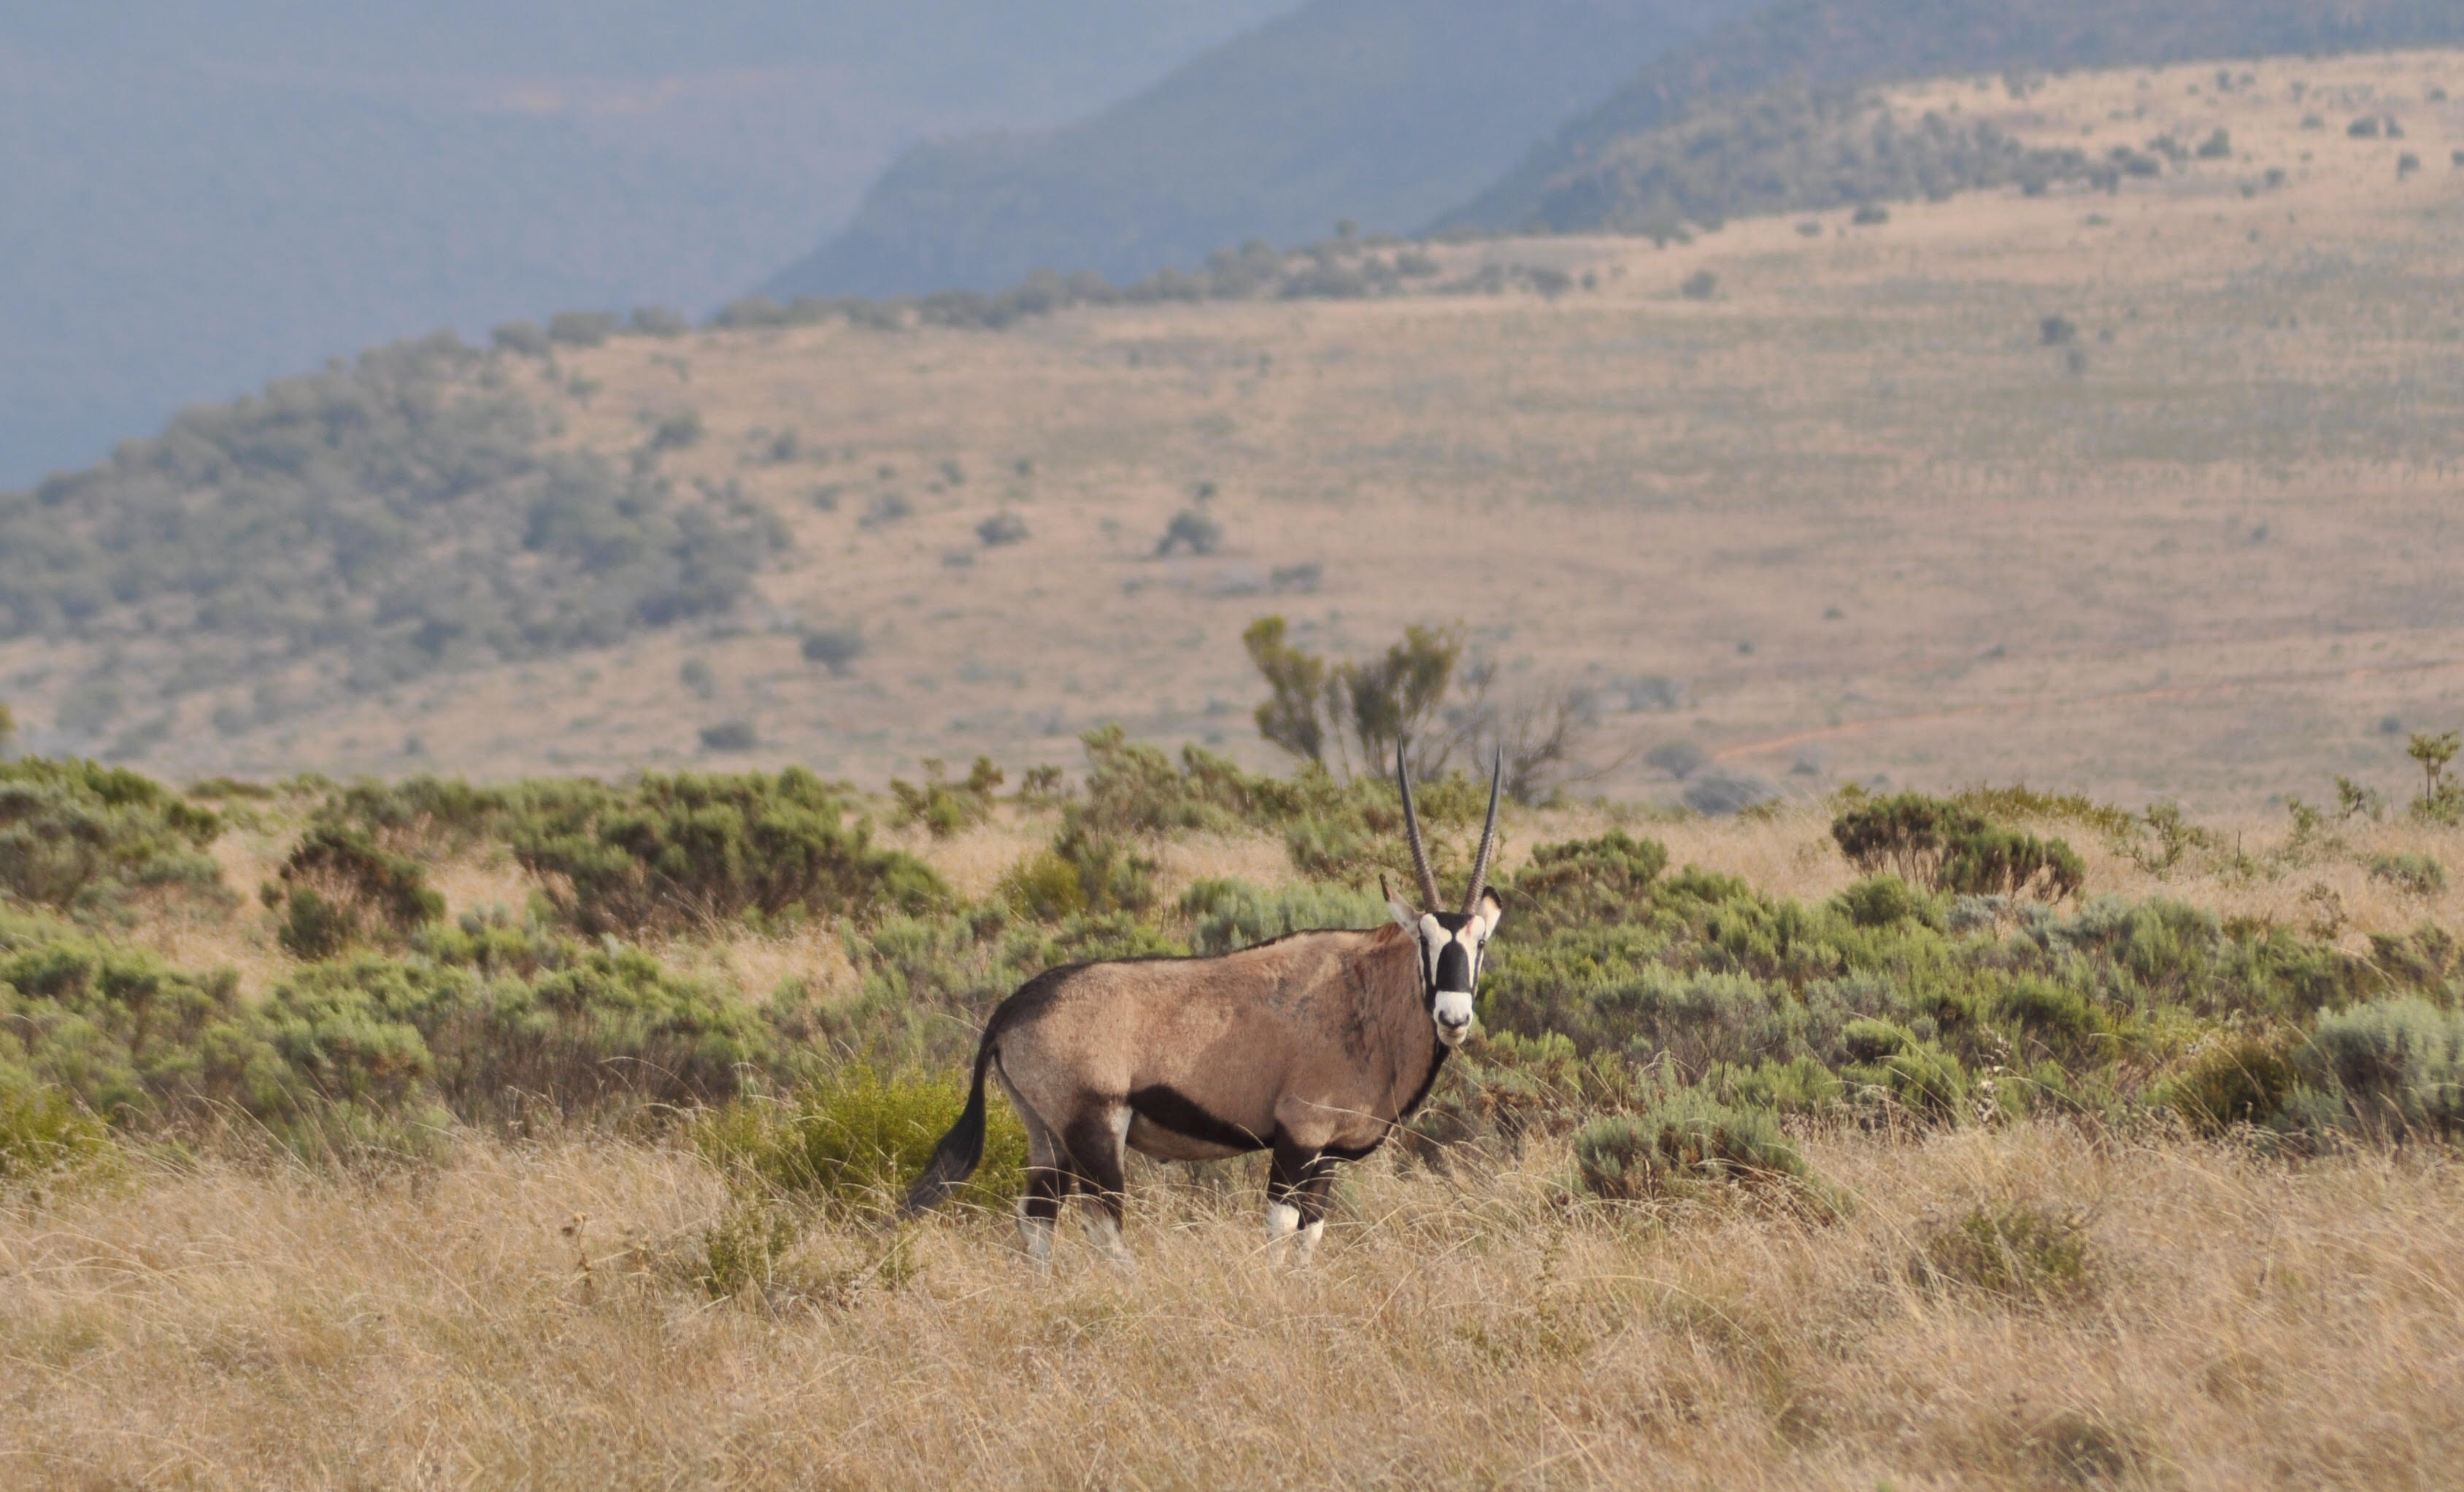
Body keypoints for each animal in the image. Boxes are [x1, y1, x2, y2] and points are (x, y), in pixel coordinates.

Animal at [906, 745, 1498, 1258]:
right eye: (1425, 941)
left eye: (1480, 943)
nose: (1453, 1017)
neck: (1364, 995)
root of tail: (1017, 1005)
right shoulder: (1298, 1138)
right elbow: (1280, 1228)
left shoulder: (1327, 1153)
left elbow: (1311, 1233)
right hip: (1094, 1129)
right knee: (1102, 1223)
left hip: (1044, 1131)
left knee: (1037, 1217)